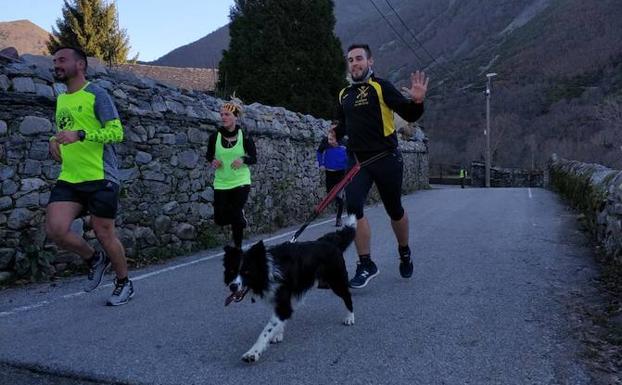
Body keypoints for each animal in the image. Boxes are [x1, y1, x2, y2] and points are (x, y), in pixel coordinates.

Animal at [227, 214, 358, 362]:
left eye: (247, 272)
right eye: (232, 271)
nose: (232, 286)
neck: (268, 269)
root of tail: (331, 243)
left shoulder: (283, 301)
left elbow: (266, 330)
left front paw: (253, 352)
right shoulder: (280, 299)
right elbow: (276, 321)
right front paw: (277, 334)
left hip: (336, 280)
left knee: (347, 296)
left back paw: (350, 318)